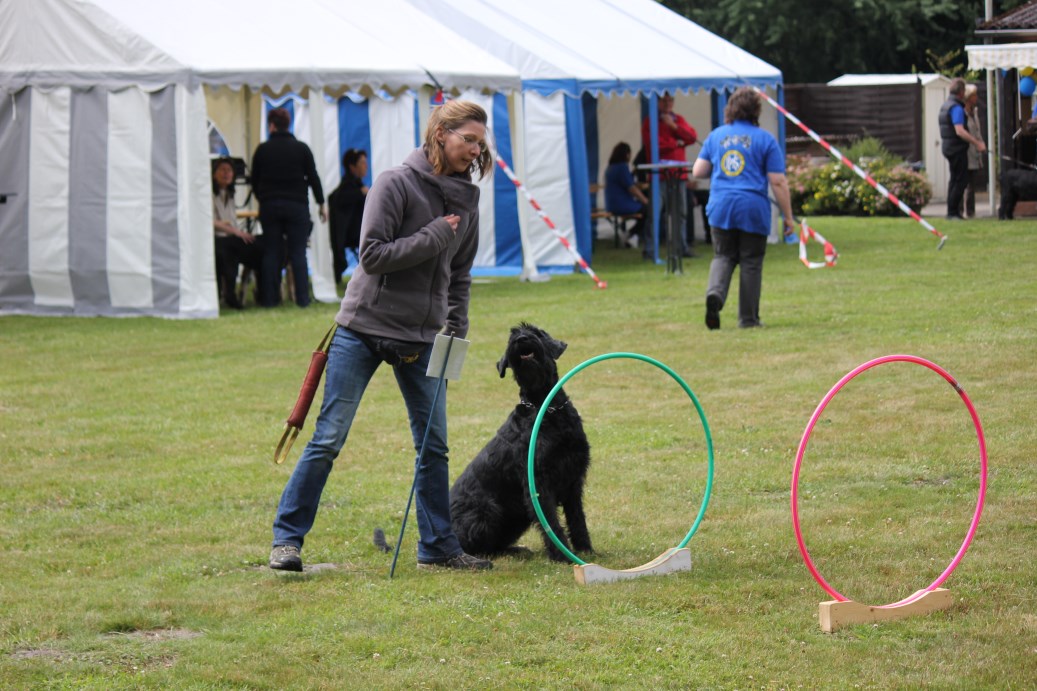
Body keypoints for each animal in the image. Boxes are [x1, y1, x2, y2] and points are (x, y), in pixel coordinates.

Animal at [447, 323, 593, 560]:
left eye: (537, 332)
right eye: (511, 337)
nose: (521, 339)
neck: (548, 408)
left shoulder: (574, 477)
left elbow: (577, 517)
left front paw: (585, 549)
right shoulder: (538, 482)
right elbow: (551, 522)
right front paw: (562, 555)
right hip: (487, 511)